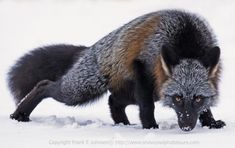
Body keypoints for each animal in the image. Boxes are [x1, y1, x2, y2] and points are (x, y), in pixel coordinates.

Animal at [8, 9, 226, 131]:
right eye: (178, 98)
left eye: (198, 98)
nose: (187, 126)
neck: (186, 40)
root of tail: (93, 47)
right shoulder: (142, 68)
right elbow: (147, 108)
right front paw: (151, 128)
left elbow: (206, 109)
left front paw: (210, 123)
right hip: (79, 91)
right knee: (44, 84)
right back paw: (20, 114)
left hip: (139, 92)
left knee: (113, 100)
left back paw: (123, 124)